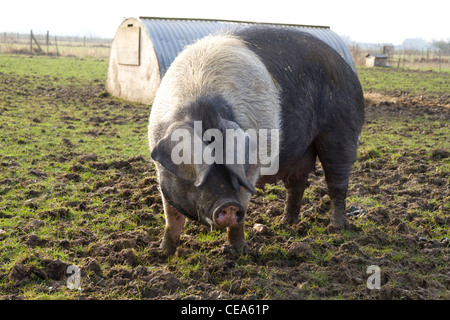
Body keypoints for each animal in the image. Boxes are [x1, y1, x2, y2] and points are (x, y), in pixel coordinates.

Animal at [149, 25, 364, 255]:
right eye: (201, 170)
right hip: (301, 151)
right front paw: (162, 252)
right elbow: (171, 219)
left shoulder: (253, 166)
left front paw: (241, 253)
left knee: (337, 183)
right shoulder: (161, 171)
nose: (228, 205)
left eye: (233, 168)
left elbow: (241, 214)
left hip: (342, 132)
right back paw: (285, 223)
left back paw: (337, 228)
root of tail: (347, 67)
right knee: (297, 185)